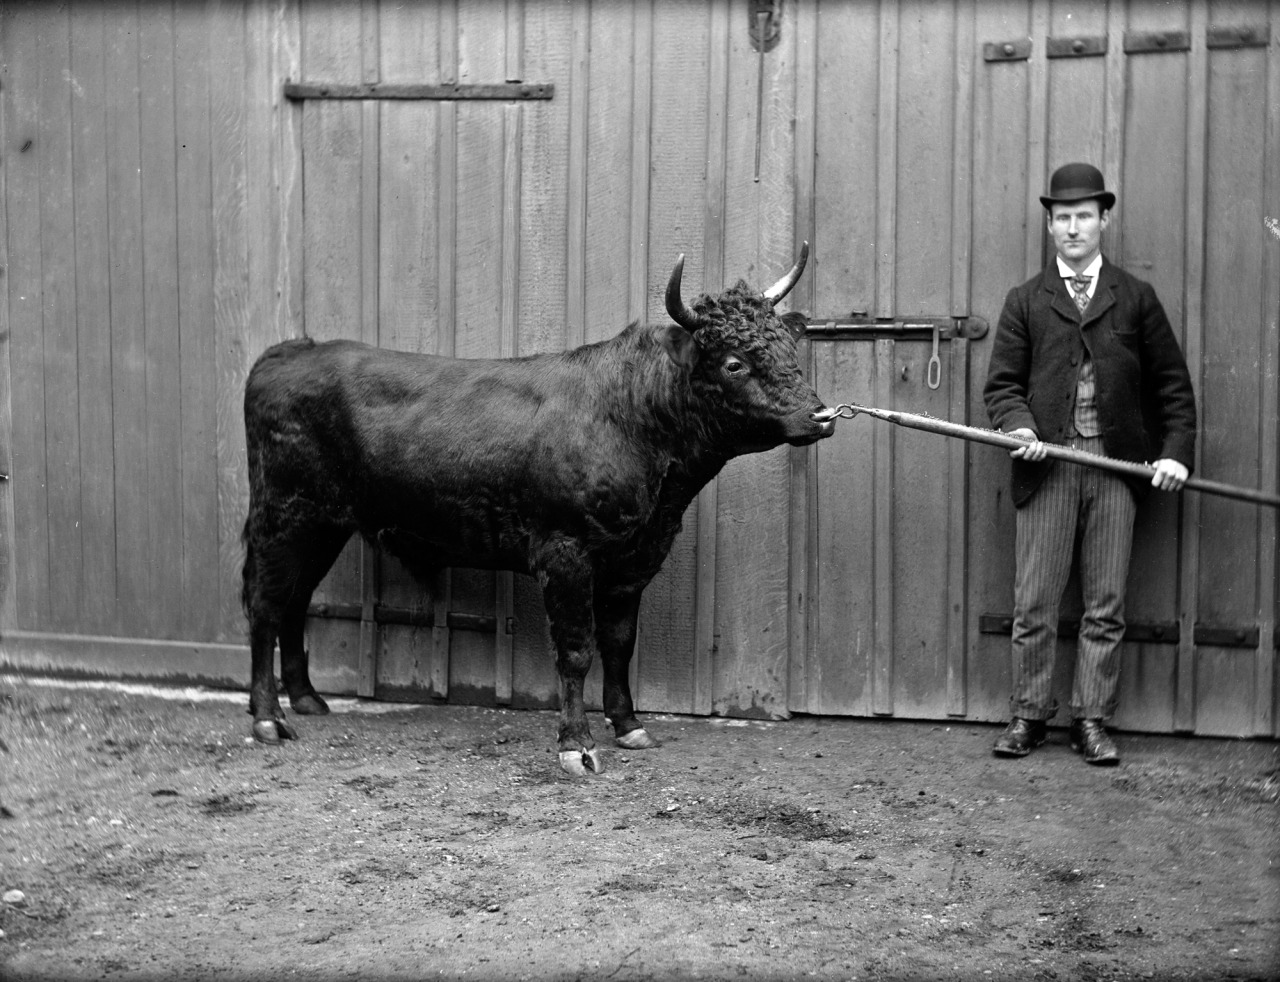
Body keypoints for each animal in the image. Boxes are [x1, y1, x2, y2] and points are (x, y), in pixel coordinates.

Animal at [240, 245, 834, 775]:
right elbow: (576, 650)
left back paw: (307, 699)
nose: (821, 415)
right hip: (284, 516)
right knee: (266, 605)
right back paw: (269, 719)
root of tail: (290, 351)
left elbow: (619, 644)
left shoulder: (632, 560)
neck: (632, 418)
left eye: (788, 349)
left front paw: (629, 725)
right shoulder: (564, 552)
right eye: (735, 362)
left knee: (295, 601)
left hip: (324, 526)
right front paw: (577, 745)